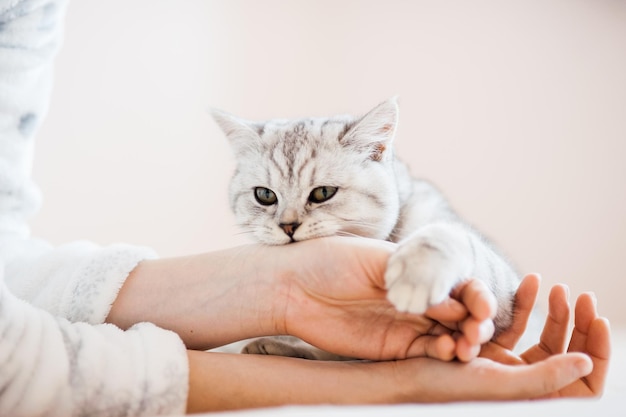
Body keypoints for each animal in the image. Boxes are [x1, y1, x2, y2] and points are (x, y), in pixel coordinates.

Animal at [212, 97, 520, 358]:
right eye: (265, 195)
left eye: (323, 193)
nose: (288, 226)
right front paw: (280, 346)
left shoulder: (503, 292)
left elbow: (447, 236)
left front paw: (416, 274)